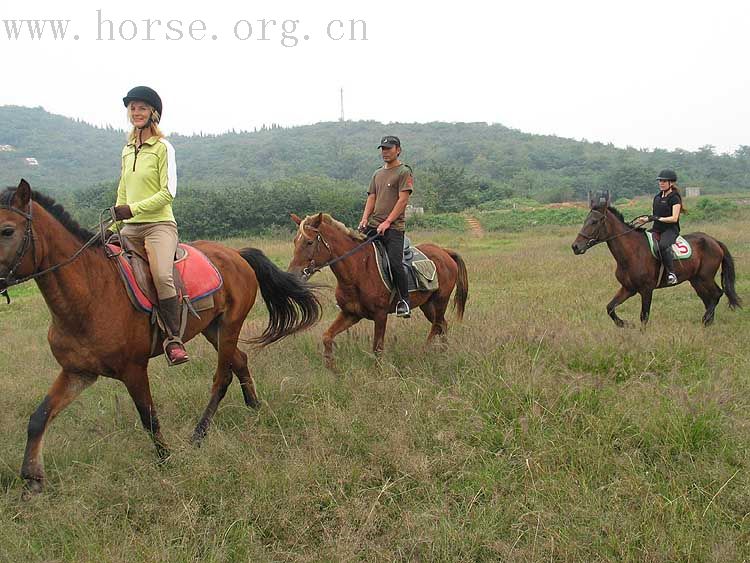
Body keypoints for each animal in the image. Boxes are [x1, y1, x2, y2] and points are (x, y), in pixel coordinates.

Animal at [0, 182, 320, 498]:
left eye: (7, 230)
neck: (91, 293)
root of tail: (237, 254)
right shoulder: (77, 372)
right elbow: (39, 418)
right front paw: (32, 480)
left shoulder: (133, 369)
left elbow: (149, 418)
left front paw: (166, 460)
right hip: (212, 328)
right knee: (240, 360)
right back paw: (254, 406)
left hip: (230, 326)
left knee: (222, 377)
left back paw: (199, 434)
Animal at [290, 213, 470, 370]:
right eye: (294, 242)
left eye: (309, 242)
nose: (294, 275)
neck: (358, 269)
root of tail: (445, 252)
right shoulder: (350, 314)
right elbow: (327, 337)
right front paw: (333, 369)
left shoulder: (380, 315)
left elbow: (377, 348)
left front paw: (378, 373)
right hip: (427, 304)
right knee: (442, 325)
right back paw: (443, 353)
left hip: (440, 300)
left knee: (437, 325)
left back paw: (424, 352)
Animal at [572, 193, 744, 328]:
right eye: (586, 220)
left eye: (594, 222)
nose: (575, 246)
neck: (631, 253)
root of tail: (714, 241)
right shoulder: (628, 288)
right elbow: (610, 308)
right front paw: (625, 324)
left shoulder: (646, 290)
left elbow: (644, 316)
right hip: (696, 280)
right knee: (709, 298)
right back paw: (708, 322)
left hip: (705, 277)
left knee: (717, 294)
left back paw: (706, 319)